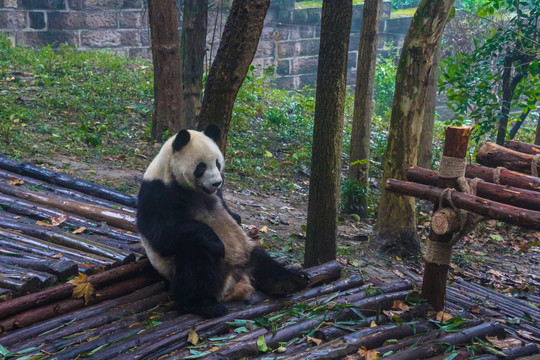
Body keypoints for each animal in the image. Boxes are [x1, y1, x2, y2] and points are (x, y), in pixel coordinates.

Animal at [137, 126, 310, 318]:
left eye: (218, 163)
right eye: (201, 166)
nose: (216, 182)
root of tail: (237, 279)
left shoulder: (217, 196)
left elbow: (230, 214)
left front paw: (236, 218)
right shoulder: (157, 193)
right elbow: (162, 234)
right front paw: (217, 244)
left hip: (247, 252)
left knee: (263, 261)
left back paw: (292, 281)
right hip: (197, 269)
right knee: (197, 260)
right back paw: (203, 304)